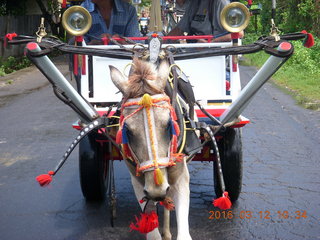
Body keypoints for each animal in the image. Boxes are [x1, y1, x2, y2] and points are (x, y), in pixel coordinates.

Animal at [109, 58, 191, 240]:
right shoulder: (140, 184)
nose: (156, 190)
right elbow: (152, 234)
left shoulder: (180, 178)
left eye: (168, 125)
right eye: (128, 131)